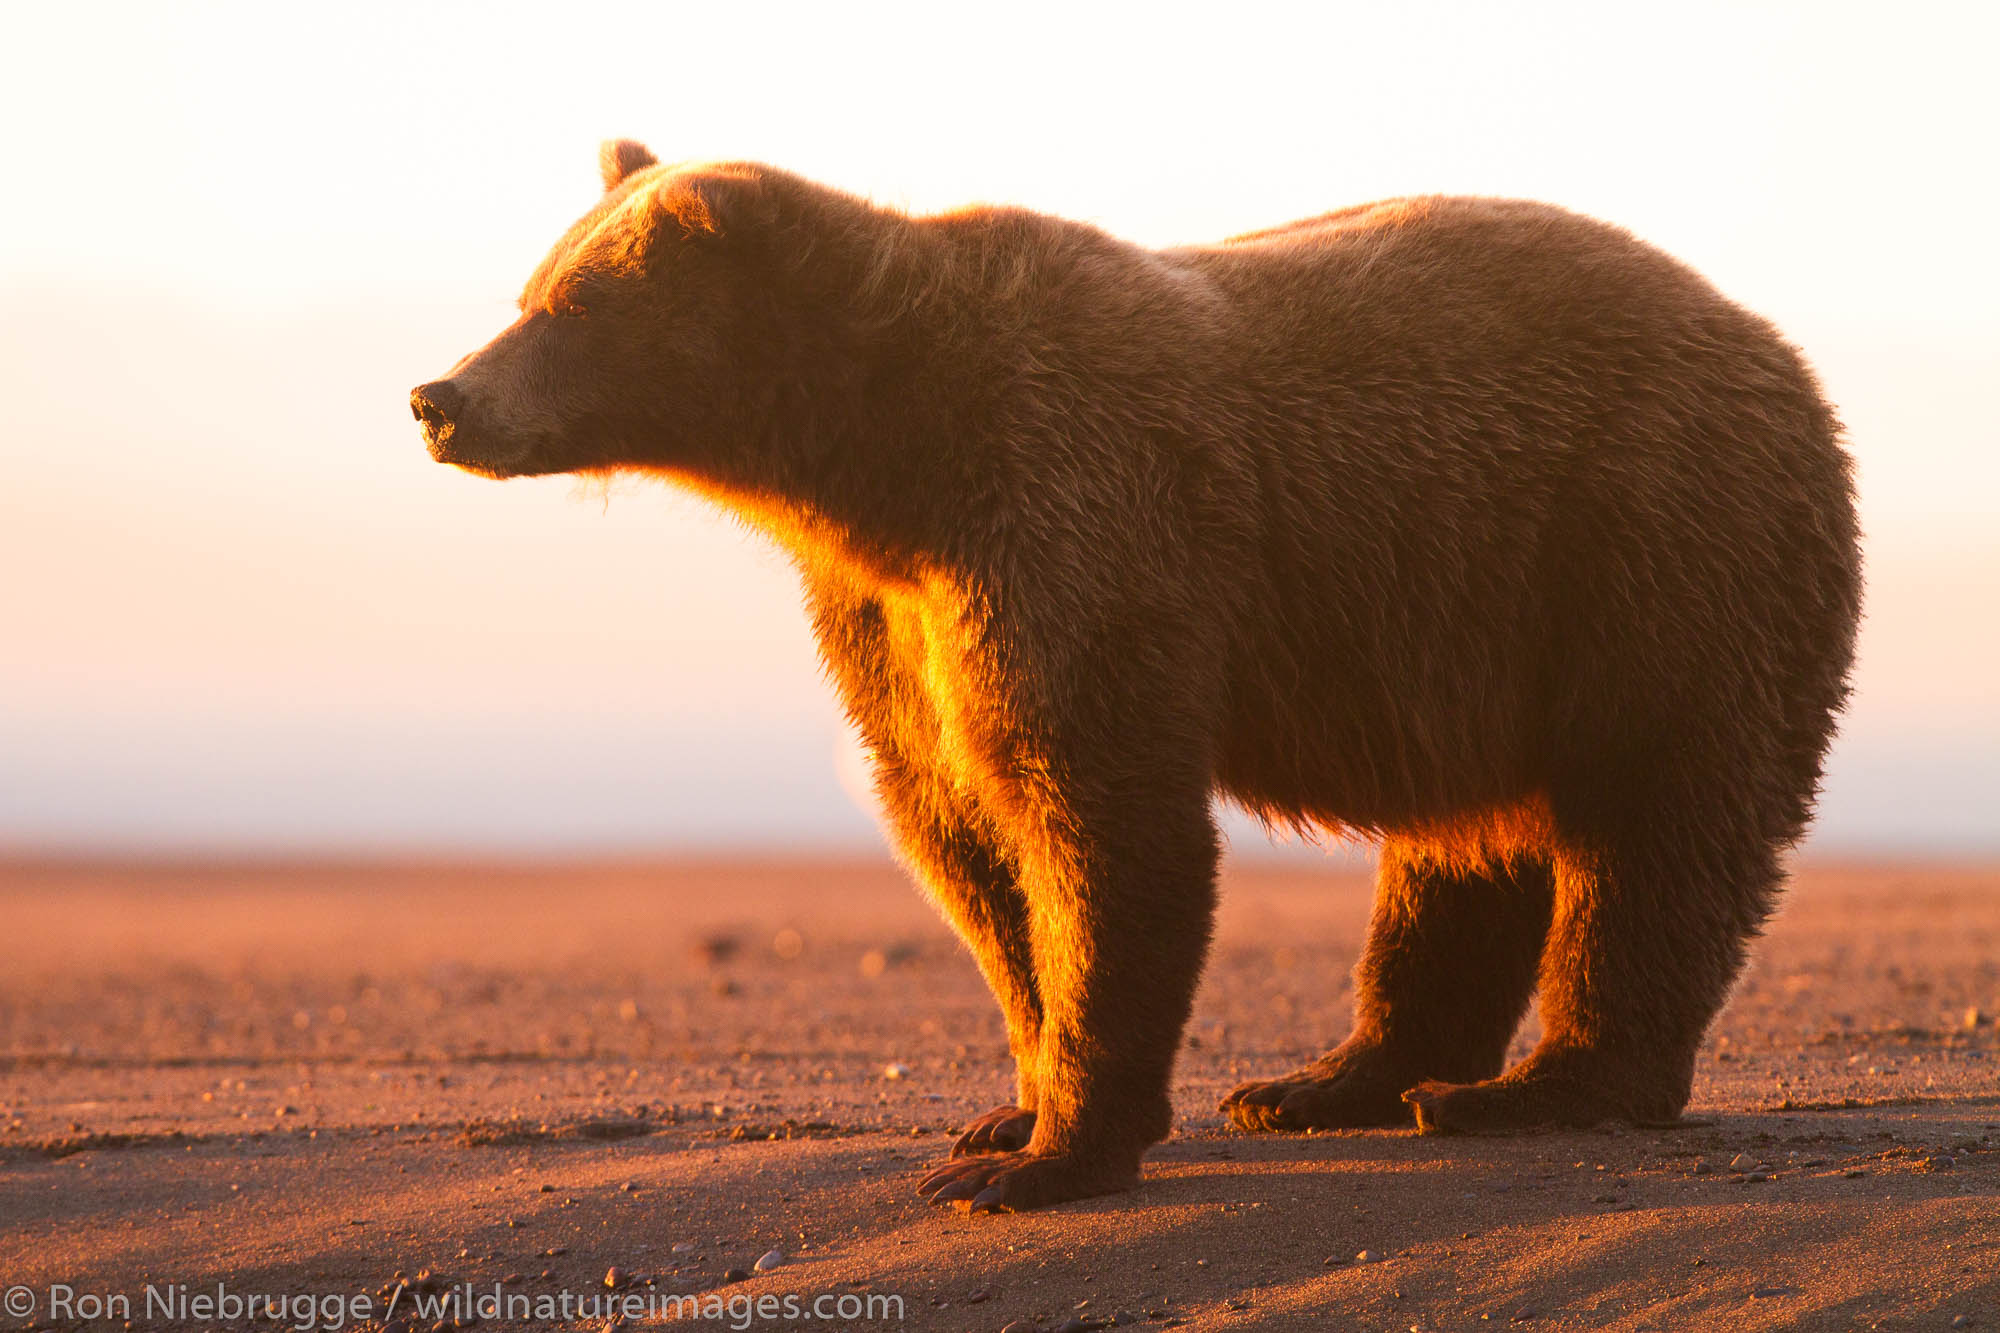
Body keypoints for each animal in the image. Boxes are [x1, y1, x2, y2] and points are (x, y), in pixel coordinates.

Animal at [406, 140, 1856, 1208]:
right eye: (528, 287)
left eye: (573, 304)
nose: (439, 399)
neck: (879, 462)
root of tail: (1782, 355)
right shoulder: (889, 618)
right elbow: (963, 837)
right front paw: (1008, 1110)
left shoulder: (1071, 515)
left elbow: (1096, 813)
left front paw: (1045, 1158)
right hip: (1484, 625)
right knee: (1463, 849)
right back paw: (1324, 1081)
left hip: (1648, 556)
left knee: (1653, 826)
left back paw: (1535, 1088)